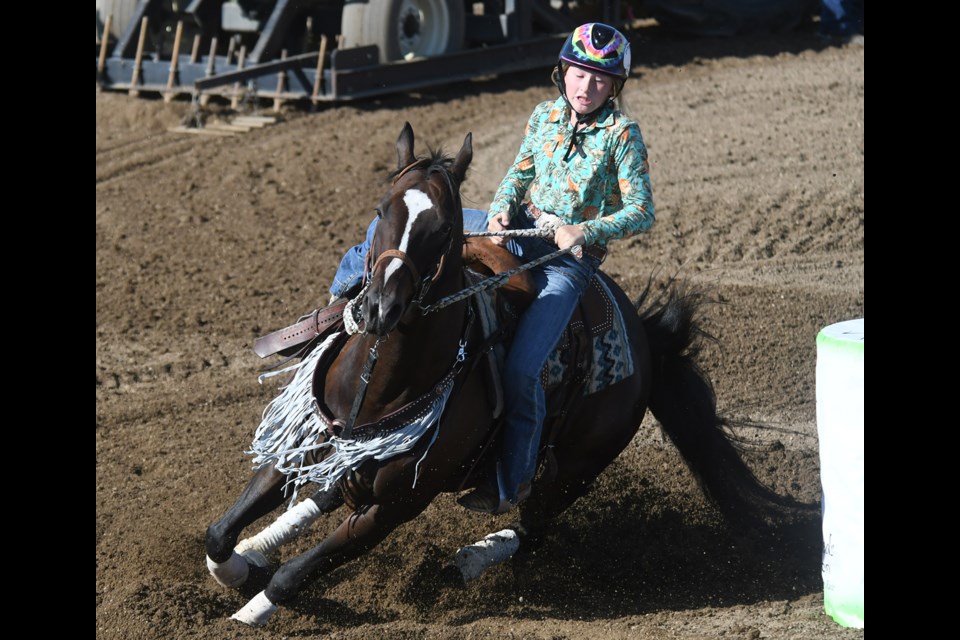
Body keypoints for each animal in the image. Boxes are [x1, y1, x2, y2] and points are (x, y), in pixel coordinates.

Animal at [204, 121, 796, 624]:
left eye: (443, 228)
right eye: (381, 208)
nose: (378, 310)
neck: (381, 383)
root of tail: (644, 339)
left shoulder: (397, 505)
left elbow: (297, 573)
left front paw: (250, 609)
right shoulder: (304, 440)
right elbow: (221, 530)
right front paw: (236, 566)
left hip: (576, 470)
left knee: (531, 530)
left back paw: (465, 562)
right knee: (325, 494)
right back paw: (264, 542)